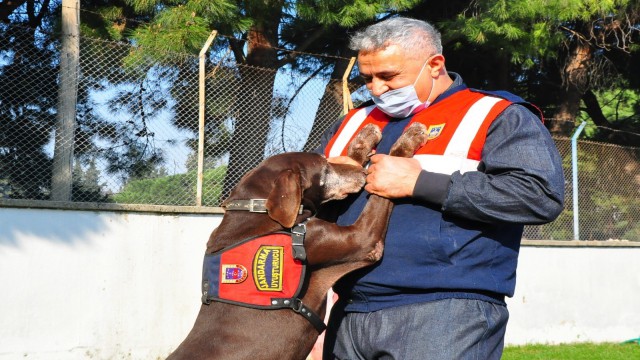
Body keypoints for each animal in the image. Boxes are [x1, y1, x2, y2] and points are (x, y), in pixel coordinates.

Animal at [170, 122, 428, 358]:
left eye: (329, 161)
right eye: (324, 170)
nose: (364, 174)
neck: (257, 213)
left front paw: (363, 140)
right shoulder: (363, 239)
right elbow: (379, 196)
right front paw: (405, 144)